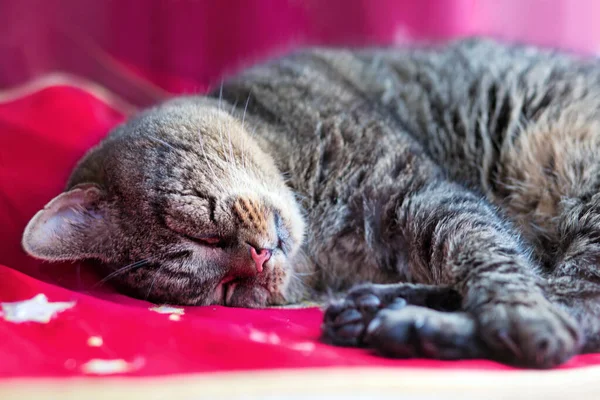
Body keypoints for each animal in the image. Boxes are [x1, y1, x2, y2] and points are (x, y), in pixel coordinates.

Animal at [22, 38, 600, 368]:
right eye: (225, 291)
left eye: (199, 226)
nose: (258, 260)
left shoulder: (420, 194)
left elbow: (490, 259)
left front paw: (521, 317)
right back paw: (380, 315)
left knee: (573, 308)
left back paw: (406, 322)